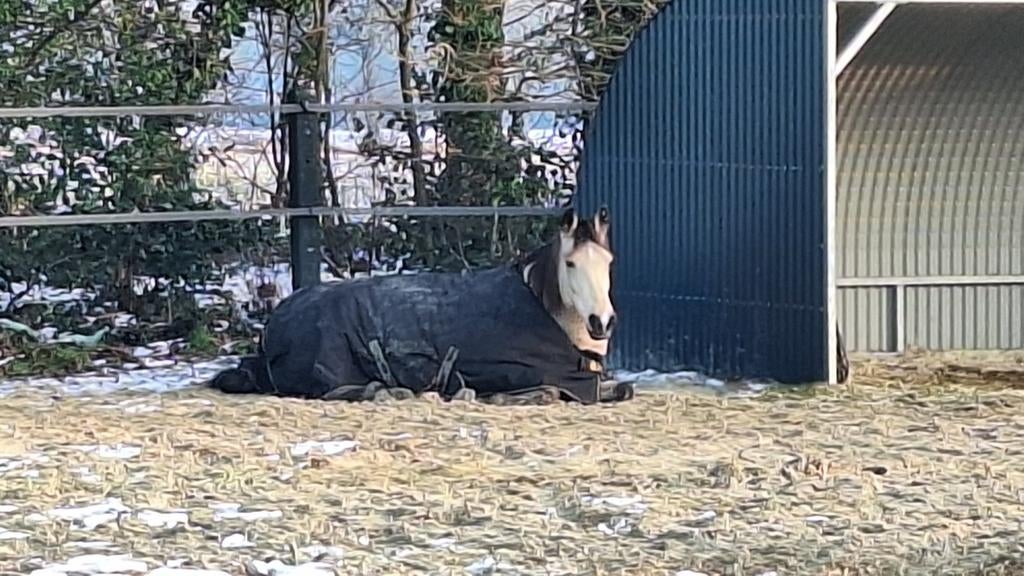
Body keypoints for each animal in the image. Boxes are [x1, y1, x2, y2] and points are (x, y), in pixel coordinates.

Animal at [209, 206, 634, 405]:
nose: (602, 322)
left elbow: (623, 389)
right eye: (571, 264)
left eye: (609, 262)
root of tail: (271, 332)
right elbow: (552, 391)